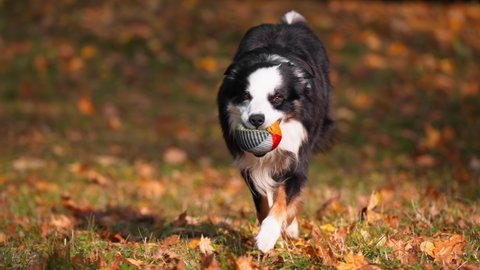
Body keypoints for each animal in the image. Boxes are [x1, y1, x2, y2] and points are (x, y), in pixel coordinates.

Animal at [217, 10, 334, 251]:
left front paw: (269, 235)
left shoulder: (296, 157)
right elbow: (263, 201)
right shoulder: (248, 163)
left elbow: (284, 199)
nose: (256, 119)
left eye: (278, 97)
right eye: (245, 96)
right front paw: (267, 230)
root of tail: (287, 24)